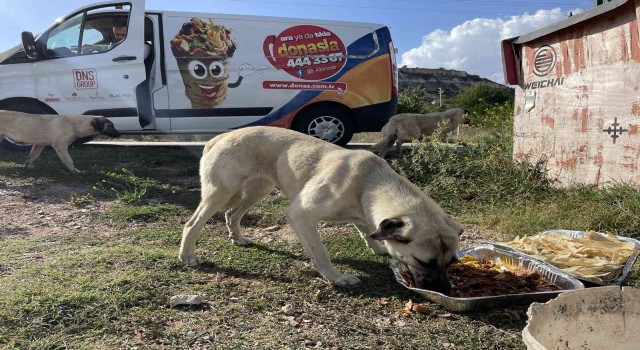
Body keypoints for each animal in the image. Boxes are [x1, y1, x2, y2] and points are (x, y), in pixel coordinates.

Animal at [178, 126, 462, 292]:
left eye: (452, 262)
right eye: (423, 262)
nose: (446, 290)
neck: (368, 182)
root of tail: (219, 136)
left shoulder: (363, 214)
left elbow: (367, 229)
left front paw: (378, 246)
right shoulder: (300, 215)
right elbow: (321, 253)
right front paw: (336, 278)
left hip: (259, 190)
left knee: (232, 214)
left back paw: (237, 238)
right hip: (220, 193)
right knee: (192, 224)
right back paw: (188, 256)